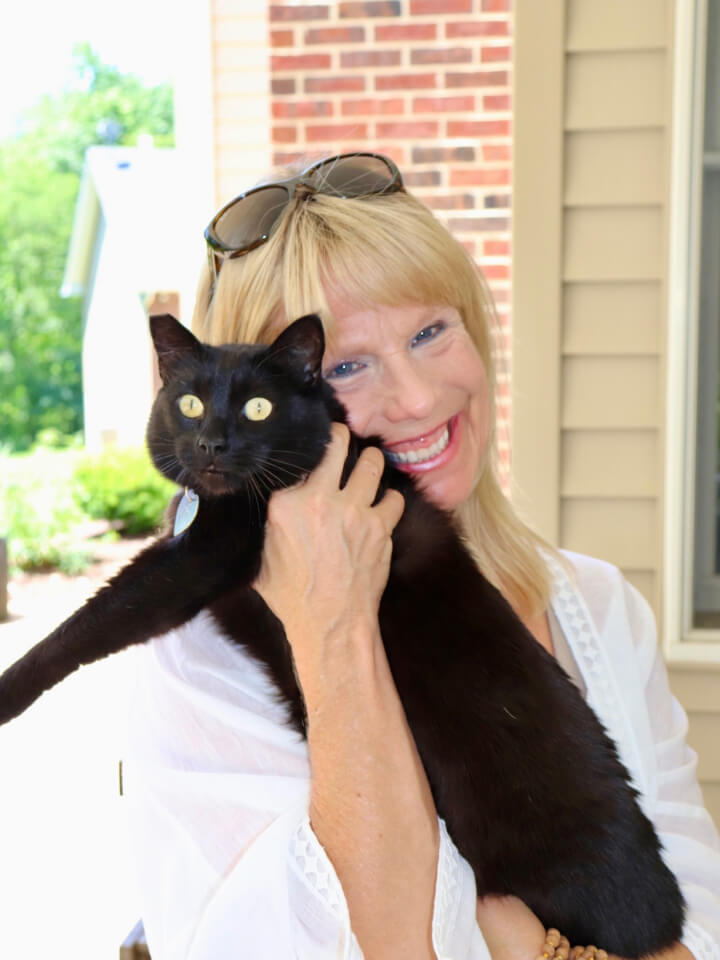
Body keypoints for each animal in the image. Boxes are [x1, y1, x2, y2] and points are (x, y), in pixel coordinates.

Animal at [0, 314, 684, 952]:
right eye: (189, 402)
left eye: (258, 407)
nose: (211, 443)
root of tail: (665, 911)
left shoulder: (200, 559)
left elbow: (93, 620)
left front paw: (9, 691)